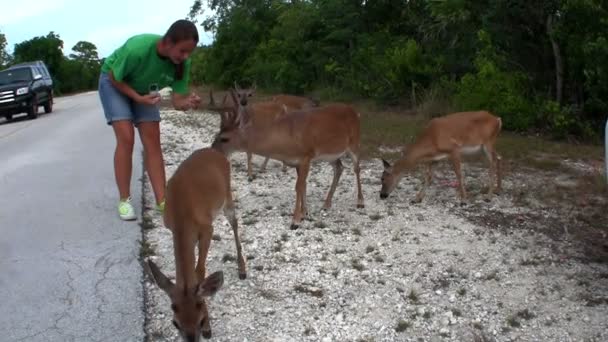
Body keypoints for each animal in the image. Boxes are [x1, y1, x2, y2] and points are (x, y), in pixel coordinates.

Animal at [144, 146, 246, 340]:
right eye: (175, 323)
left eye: (200, 320)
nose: (193, 338)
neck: (183, 217)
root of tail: (214, 149)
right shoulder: (171, 228)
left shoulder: (207, 229)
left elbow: (199, 271)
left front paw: (208, 328)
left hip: (227, 194)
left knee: (235, 223)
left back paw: (242, 269)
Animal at [211, 89, 364, 230]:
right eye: (216, 134)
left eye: (224, 138)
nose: (213, 150)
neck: (285, 140)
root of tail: (354, 111)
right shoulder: (297, 162)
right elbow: (303, 185)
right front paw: (304, 214)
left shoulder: (306, 155)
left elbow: (298, 186)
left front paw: (295, 221)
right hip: (332, 154)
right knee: (339, 168)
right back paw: (326, 205)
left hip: (354, 142)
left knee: (357, 168)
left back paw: (360, 202)